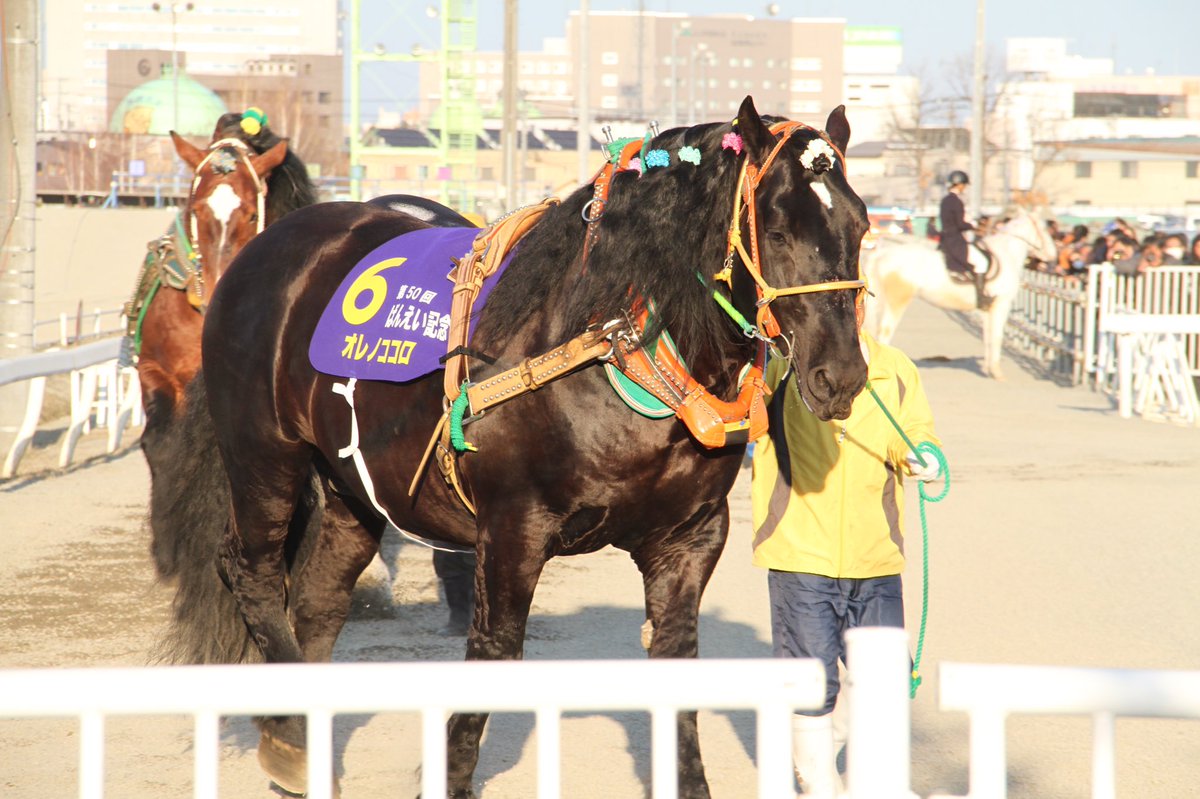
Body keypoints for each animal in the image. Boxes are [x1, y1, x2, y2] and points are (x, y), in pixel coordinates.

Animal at [156, 96, 870, 798]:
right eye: (777, 231)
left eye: (861, 228)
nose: (841, 376)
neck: (609, 346)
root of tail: (268, 247)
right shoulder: (512, 528)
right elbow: (493, 653)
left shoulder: (689, 537)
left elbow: (676, 661)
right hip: (263, 454)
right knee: (250, 572)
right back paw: (291, 738)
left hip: (352, 486)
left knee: (319, 599)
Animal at [861, 208, 1058, 380]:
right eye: (1044, 228)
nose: (1053, 255)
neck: (1006, 254)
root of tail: (880, 254)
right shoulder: (1001, 304)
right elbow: (996, 336)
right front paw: (996, 372)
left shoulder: (988, 308)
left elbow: (987, 336)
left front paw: (987, 368)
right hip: (898, 299)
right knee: (885, 331)